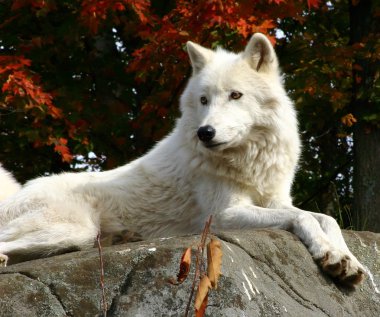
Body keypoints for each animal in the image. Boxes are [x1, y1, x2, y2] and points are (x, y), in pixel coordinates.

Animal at [0, 33, 364, 286]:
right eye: (203, 100)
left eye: (235, 95)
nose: (205, 132)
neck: (248, 158)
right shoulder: (223, 215)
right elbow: (302, 218)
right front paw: (331, 255)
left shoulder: (275, 200)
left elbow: (326, 219)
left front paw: (345, 259)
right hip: (71, 229)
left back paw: (122, 238)